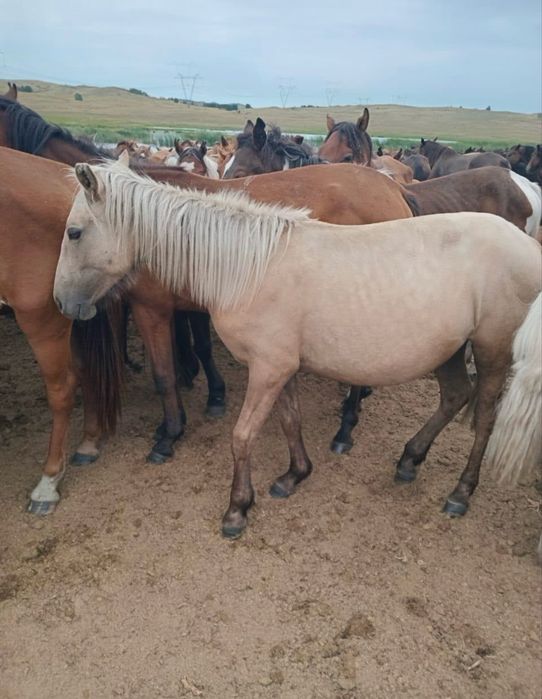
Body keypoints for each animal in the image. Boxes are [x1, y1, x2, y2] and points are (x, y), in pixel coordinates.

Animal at [54, 162, 542, 540]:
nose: (62, 303)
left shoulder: (268, 368)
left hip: (492, 350)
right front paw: (294, 475)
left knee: (484, 418)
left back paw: (460, 492)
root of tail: (528, 245)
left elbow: (242, 435)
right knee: (455, 396)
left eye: (74, 232)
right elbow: (289, 420)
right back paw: (409, 460)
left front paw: (237, 508)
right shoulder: (279, 366)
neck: (248, 266)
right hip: (449, 349)